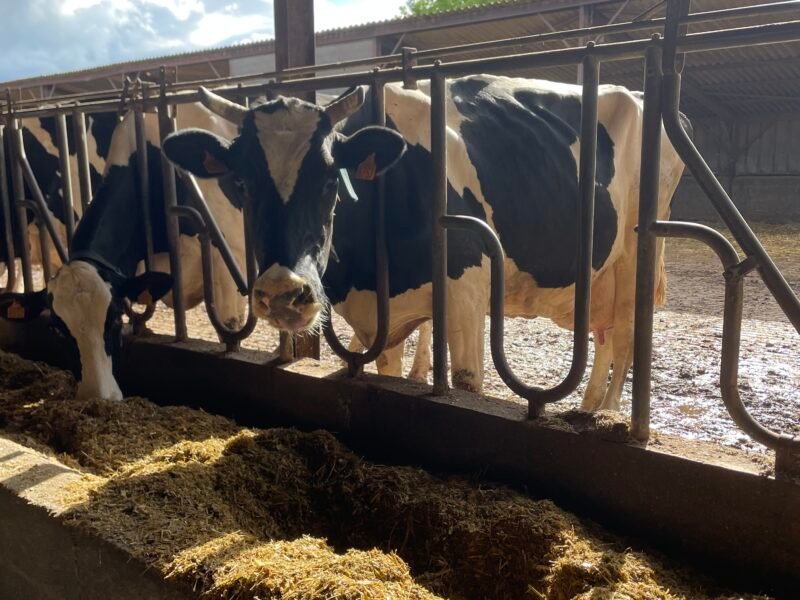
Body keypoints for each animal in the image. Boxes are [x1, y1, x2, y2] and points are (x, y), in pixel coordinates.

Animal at [161, 75, 688, 411]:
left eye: (331, 180)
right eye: (242, 183)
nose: (282, 294)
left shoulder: (468, 290)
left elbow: (467, 381)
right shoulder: (380, 317)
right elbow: (385, 370)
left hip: (636, 259)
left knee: (626, 335)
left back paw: (608, 415)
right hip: (598, 276)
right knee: (603, 335)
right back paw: (588, 406)